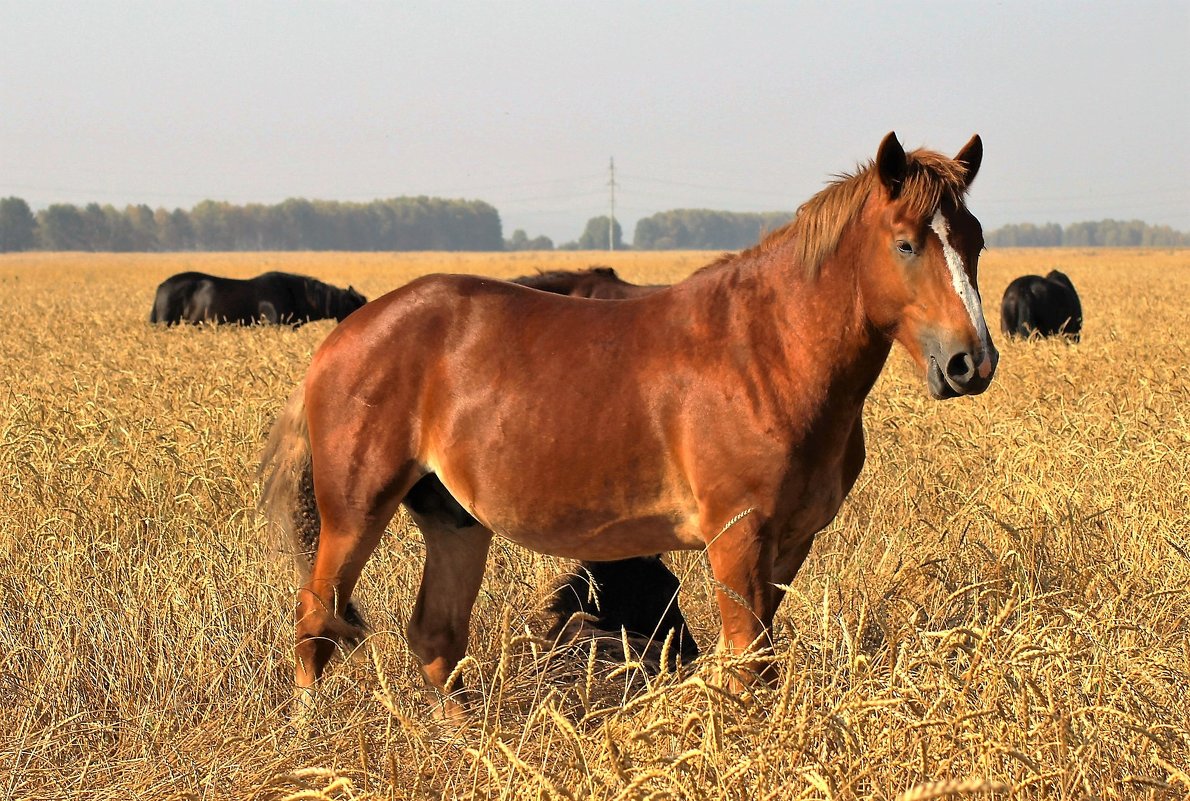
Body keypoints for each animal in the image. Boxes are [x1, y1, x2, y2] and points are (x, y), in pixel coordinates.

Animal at [260, 132, 994, 718]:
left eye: (977, 240)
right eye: (906, 243)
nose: (971, 362)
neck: (768, 350)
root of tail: (343, 338)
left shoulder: (789, 544)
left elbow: (754, 660)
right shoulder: (737, 538)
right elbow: (748, 663)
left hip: (454, 519)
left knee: (435, 636)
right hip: (355, 512)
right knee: (314, 620)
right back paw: (308, 739)